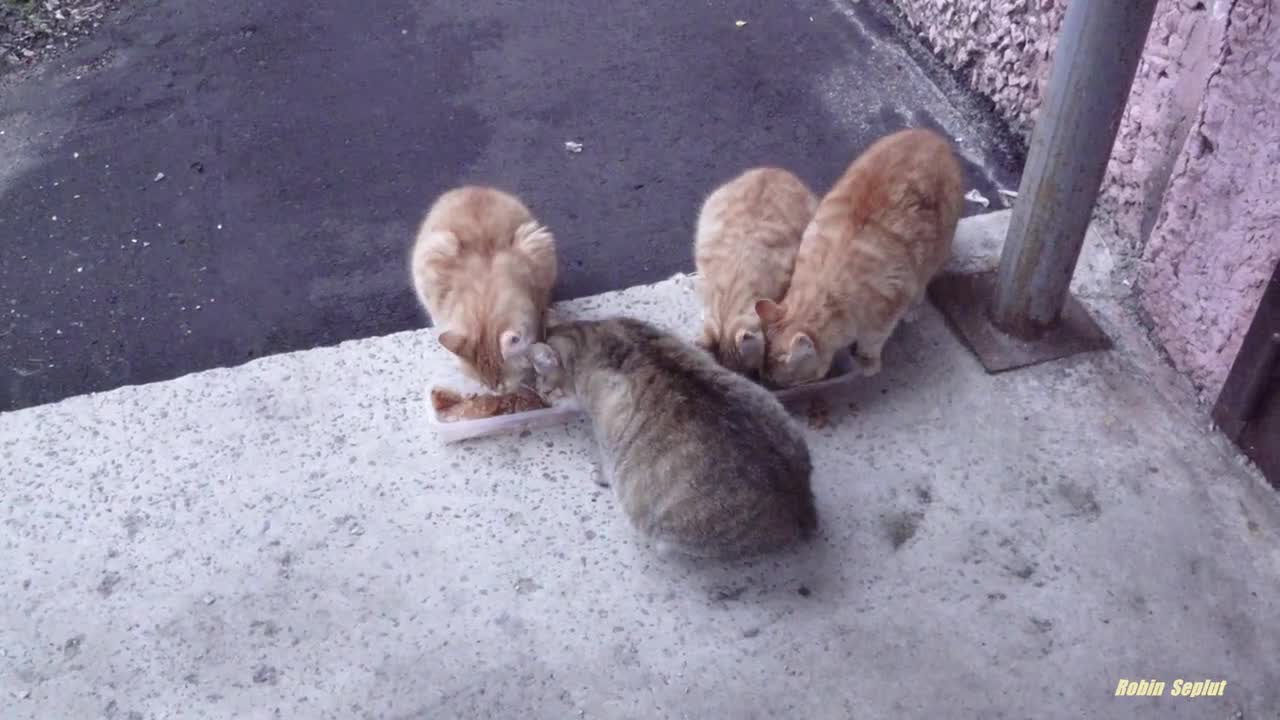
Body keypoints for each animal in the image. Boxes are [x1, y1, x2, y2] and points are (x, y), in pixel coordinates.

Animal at [524, 313, 814, 556]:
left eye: (545, 389)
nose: (543, 400)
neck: (595, 336)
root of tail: (802, 507)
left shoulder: (606, 430)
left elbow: (607, 462)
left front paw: (600, 475)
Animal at [747, 128, 962, 386]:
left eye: (779, 382)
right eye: (762, 375)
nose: (765, 384)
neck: (824, 287)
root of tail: (930, 135)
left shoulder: (884, 317)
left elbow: (871, 344)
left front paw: (868, 364)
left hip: (937, 251)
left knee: (924, 282)